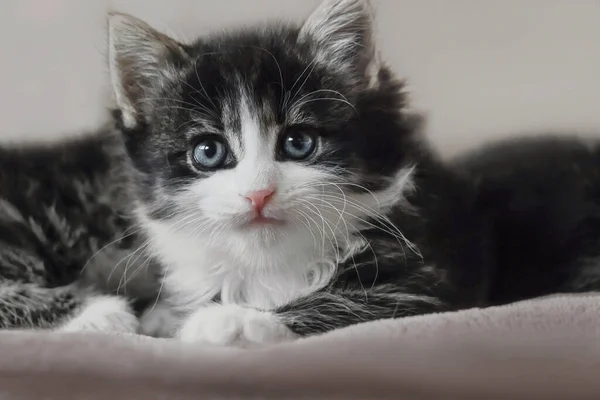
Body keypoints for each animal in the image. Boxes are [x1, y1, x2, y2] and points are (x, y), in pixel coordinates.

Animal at [108, 0, 492, 344]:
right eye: (208, 151)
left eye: (298, 142)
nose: (258, 194)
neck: (272, 266)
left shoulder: (434, 283)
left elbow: (360, 303)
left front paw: (231, 319)